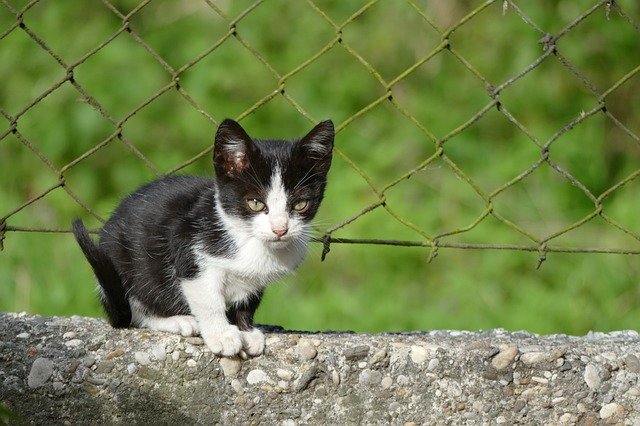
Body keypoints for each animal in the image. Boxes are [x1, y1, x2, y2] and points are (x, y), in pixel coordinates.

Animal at [73, 120, 336, 356]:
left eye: (300, 204)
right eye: (255, 203)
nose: (280, 229)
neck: (244, 236)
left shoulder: (255, 280)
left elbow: (248, 301)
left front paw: (246, 330)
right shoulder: (186, 243)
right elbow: (208, 299)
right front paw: (223, 335)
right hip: (123, 264)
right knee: (133, 312)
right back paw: (178, 320)